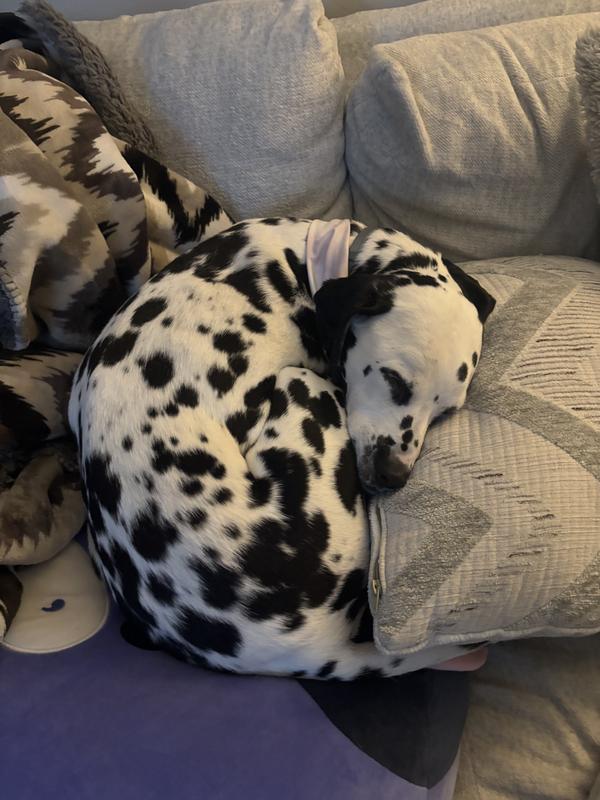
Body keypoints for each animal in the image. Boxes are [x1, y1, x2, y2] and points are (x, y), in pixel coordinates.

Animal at [68, 217, 495, 680]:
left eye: (445, 410)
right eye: (393, 379)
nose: (392, 476)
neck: (302, 259)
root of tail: (316, 648)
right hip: (302, 384)